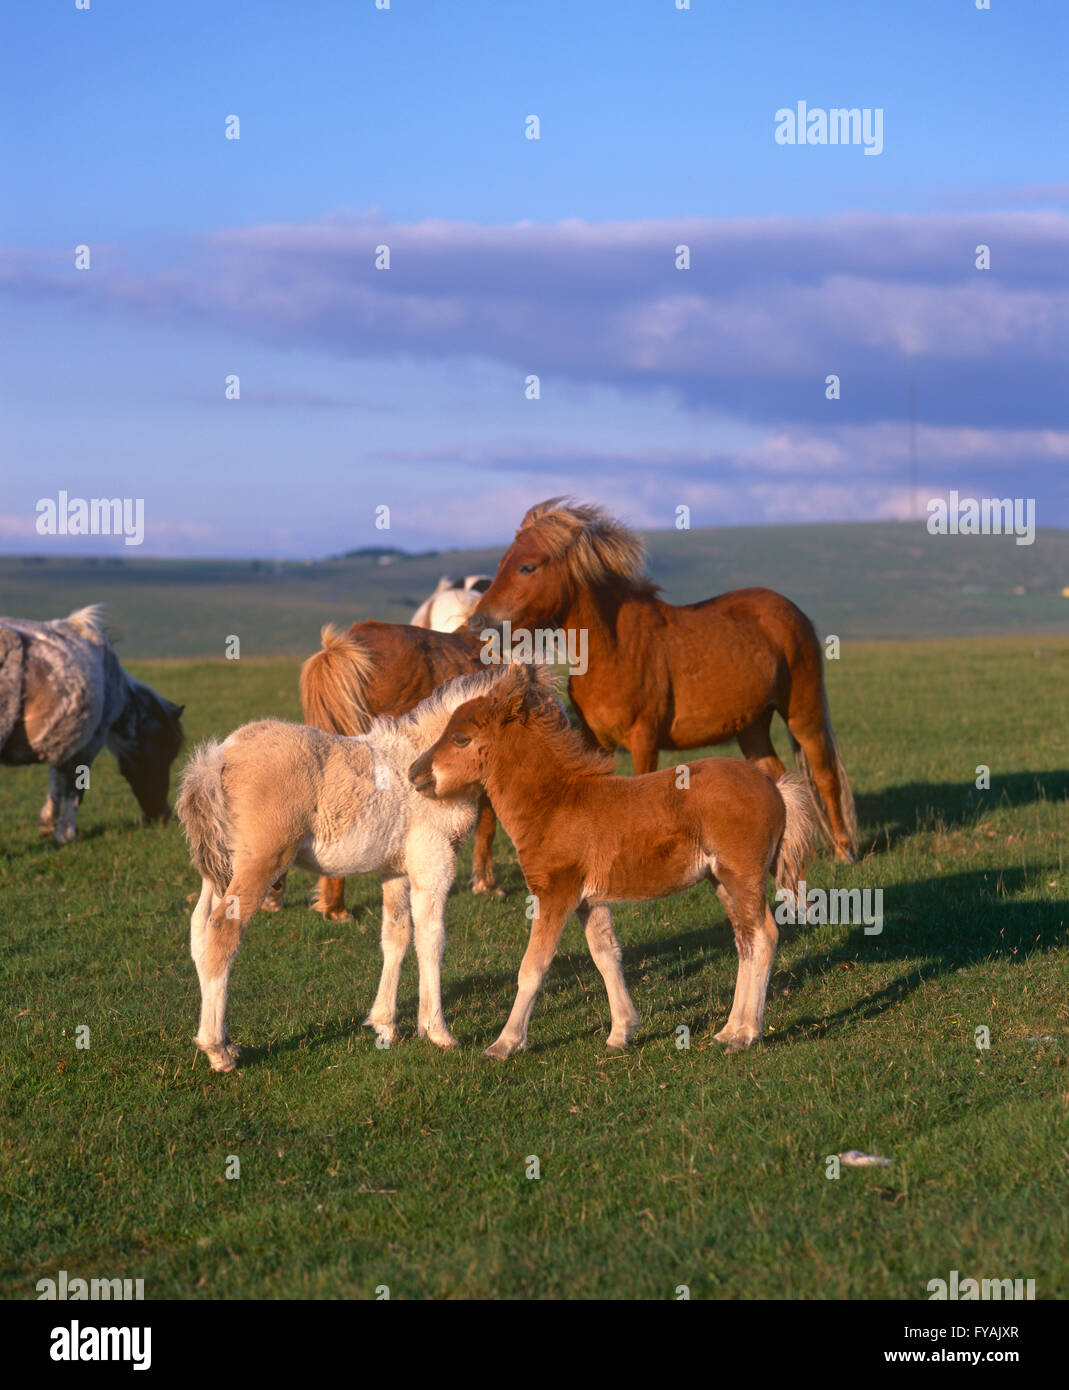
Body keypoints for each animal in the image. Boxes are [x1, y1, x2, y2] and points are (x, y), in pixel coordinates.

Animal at [469, 500, 856, 861]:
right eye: (501, 564)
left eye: (527, 567)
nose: (476, 622)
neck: (614, 648)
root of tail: (792, 611)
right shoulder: (597, 742)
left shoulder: (644, 739)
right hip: (753, 726)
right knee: (777, 775)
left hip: (803, 712)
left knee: (824, 774)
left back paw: (843, 851)